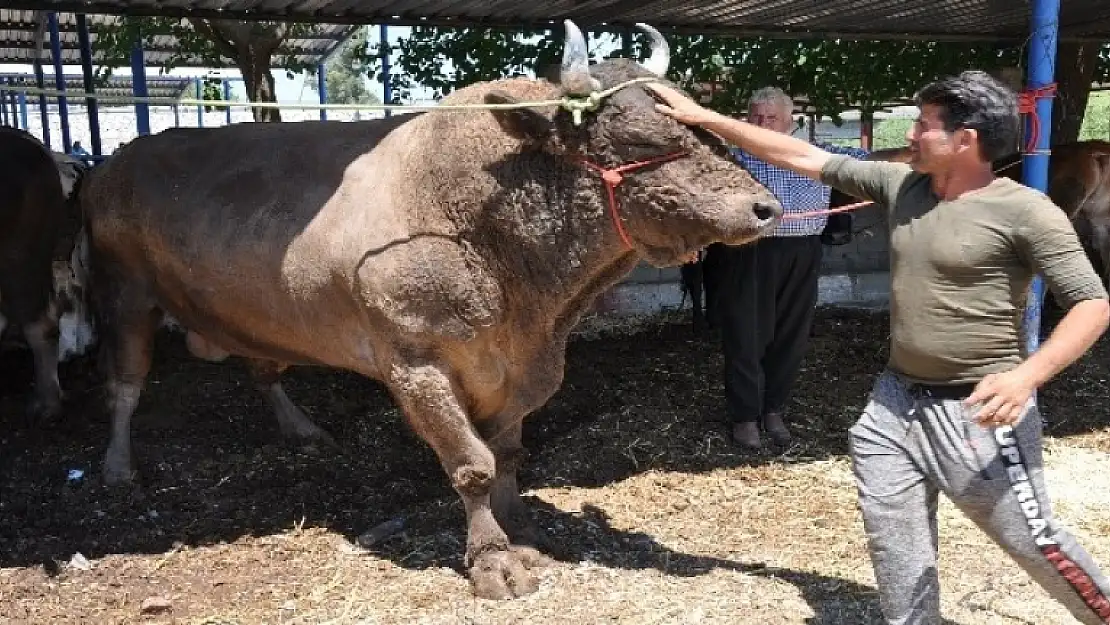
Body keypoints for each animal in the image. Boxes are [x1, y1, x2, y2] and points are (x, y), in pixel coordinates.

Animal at [76, 22, 781, 599]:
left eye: (699, 122)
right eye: (635, 136)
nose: (765, 206)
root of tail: (114, 164)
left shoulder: (525, 367)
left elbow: (508, 452)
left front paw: (525, 531)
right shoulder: (416, 366)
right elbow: (473, 464)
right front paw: (495, 562)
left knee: (261, 368)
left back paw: (301, 430)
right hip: (124, 294)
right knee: (124, 385)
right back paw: (117, 468)